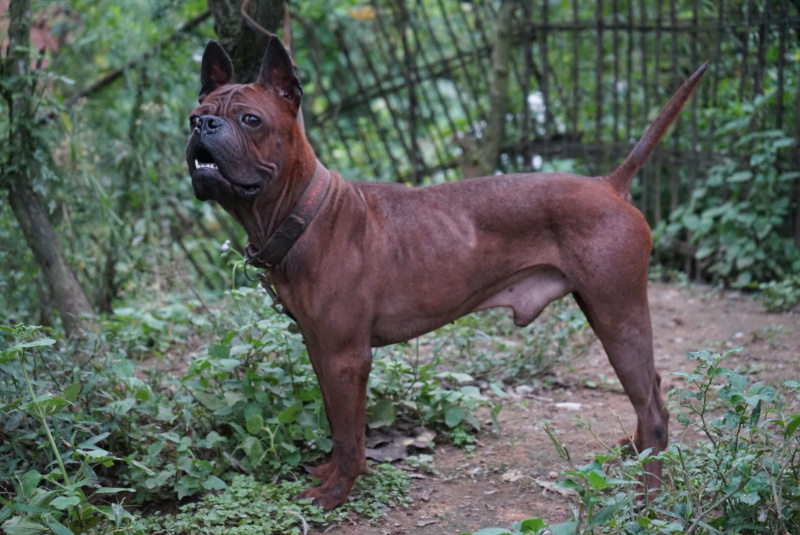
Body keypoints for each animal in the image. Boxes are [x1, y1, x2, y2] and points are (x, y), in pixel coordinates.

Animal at [186, 34, 708, 510]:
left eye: (251, 119)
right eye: (195, 117)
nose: (204, 125)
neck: (305, 212)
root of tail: (609, 184)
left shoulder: (345, 357)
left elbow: (352, 435)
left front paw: (336, 492)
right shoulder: (319, 349)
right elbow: (337, 423)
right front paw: (330, 472)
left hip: (616, 316)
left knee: (652, 407)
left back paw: (649, 496)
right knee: (654, 390)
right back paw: (638, 455)